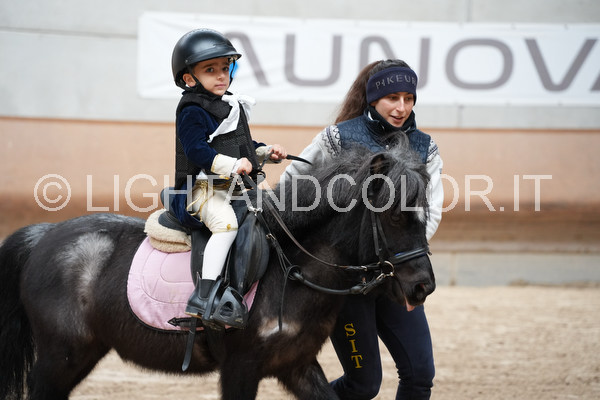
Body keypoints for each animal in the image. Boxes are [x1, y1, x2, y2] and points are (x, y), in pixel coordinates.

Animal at [0, 145, 436, 400]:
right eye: (396, 216)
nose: (423, 287)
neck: (288, 269)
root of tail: (44, 235)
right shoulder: (241, 367)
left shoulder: (296, 365)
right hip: (61, 357)